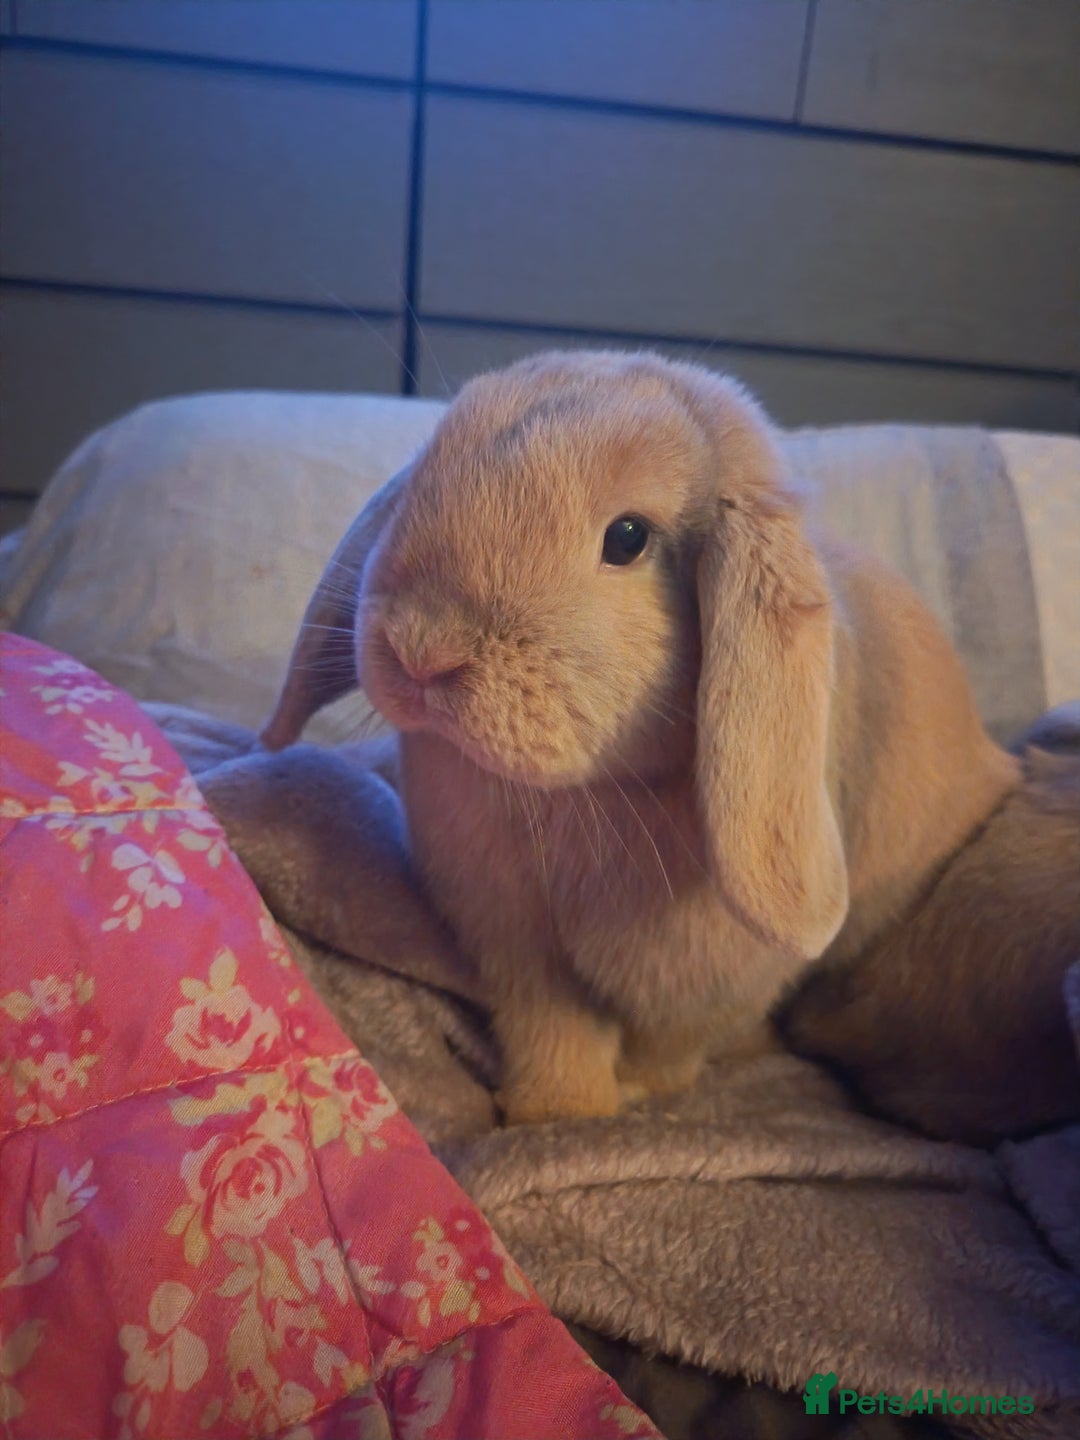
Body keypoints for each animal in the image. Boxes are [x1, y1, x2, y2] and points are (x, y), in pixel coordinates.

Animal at [260, 350, 1019, 1126]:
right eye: (426, 474)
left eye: (628, 538)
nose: (420, 648)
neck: (577, 794)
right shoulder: (518, 954)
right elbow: (552, 1032)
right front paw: (553, 1111)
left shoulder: (700, 987)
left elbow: (667, 1056)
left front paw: (622, 1099)